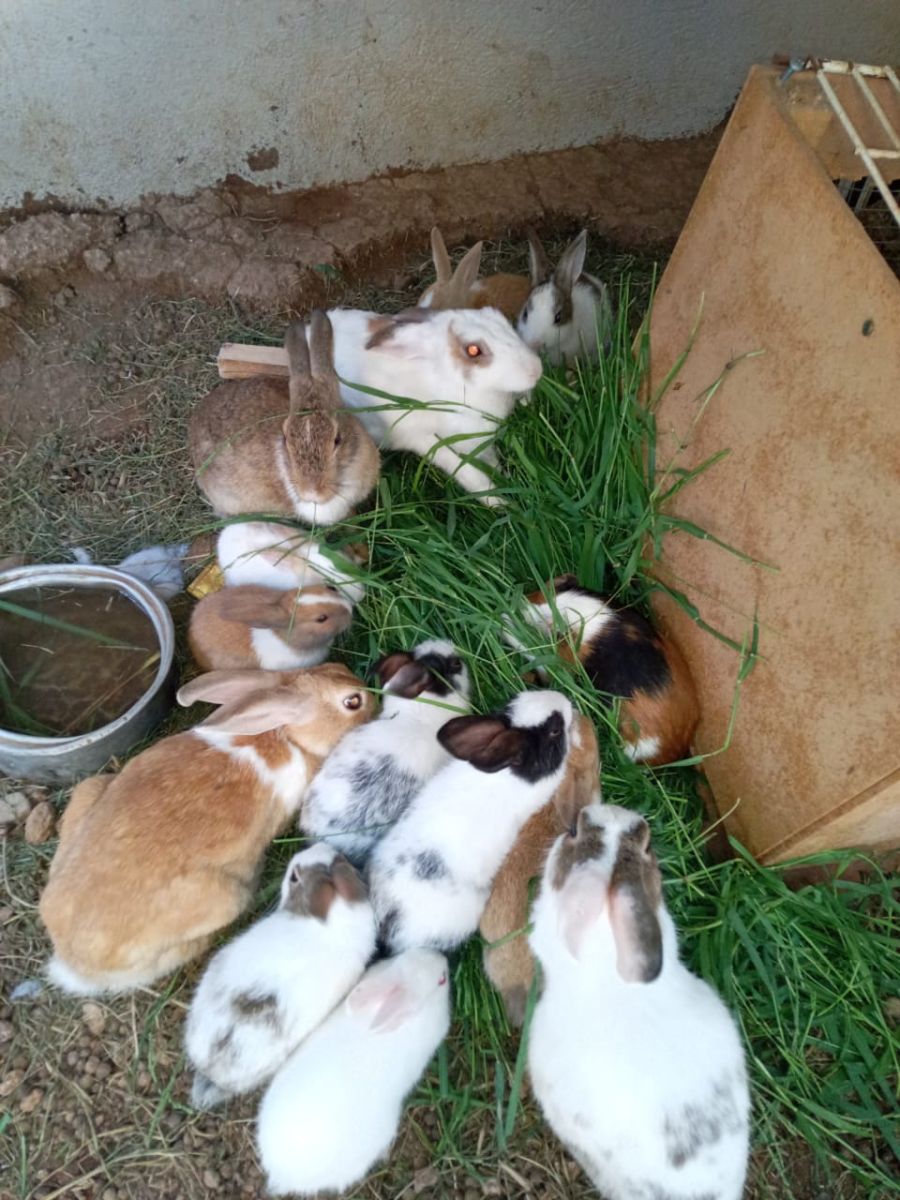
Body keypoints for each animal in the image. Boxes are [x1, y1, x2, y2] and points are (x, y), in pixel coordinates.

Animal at [39, 663, 375, 994]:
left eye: (336, 666)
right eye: (352, 702)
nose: (374, 699)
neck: (286, 736)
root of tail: (73, 963)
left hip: (89, 789)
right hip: (225, 900)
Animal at [325, 304, 542, 505]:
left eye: (500, 318)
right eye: (473, 350)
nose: (536, 369)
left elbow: (491, 463)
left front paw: (509, 481)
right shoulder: (426, 441)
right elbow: (473, 476)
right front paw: (502, 505)